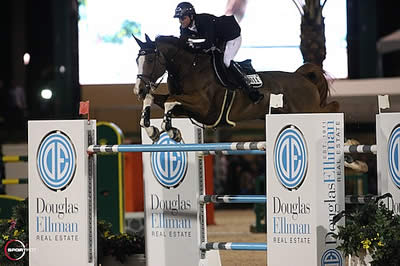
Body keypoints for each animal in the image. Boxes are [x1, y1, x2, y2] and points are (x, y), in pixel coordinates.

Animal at [133, 35, 340, 142]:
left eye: (150, 59)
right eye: (137, 60)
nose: (138, 90)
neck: (190, 68)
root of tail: (302, 77)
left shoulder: (203, 107)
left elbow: (170, 101)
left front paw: (171, 131)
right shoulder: (190, 108)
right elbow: (155, 99)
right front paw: (151, 130)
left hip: (307, 110)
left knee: (331, 107)